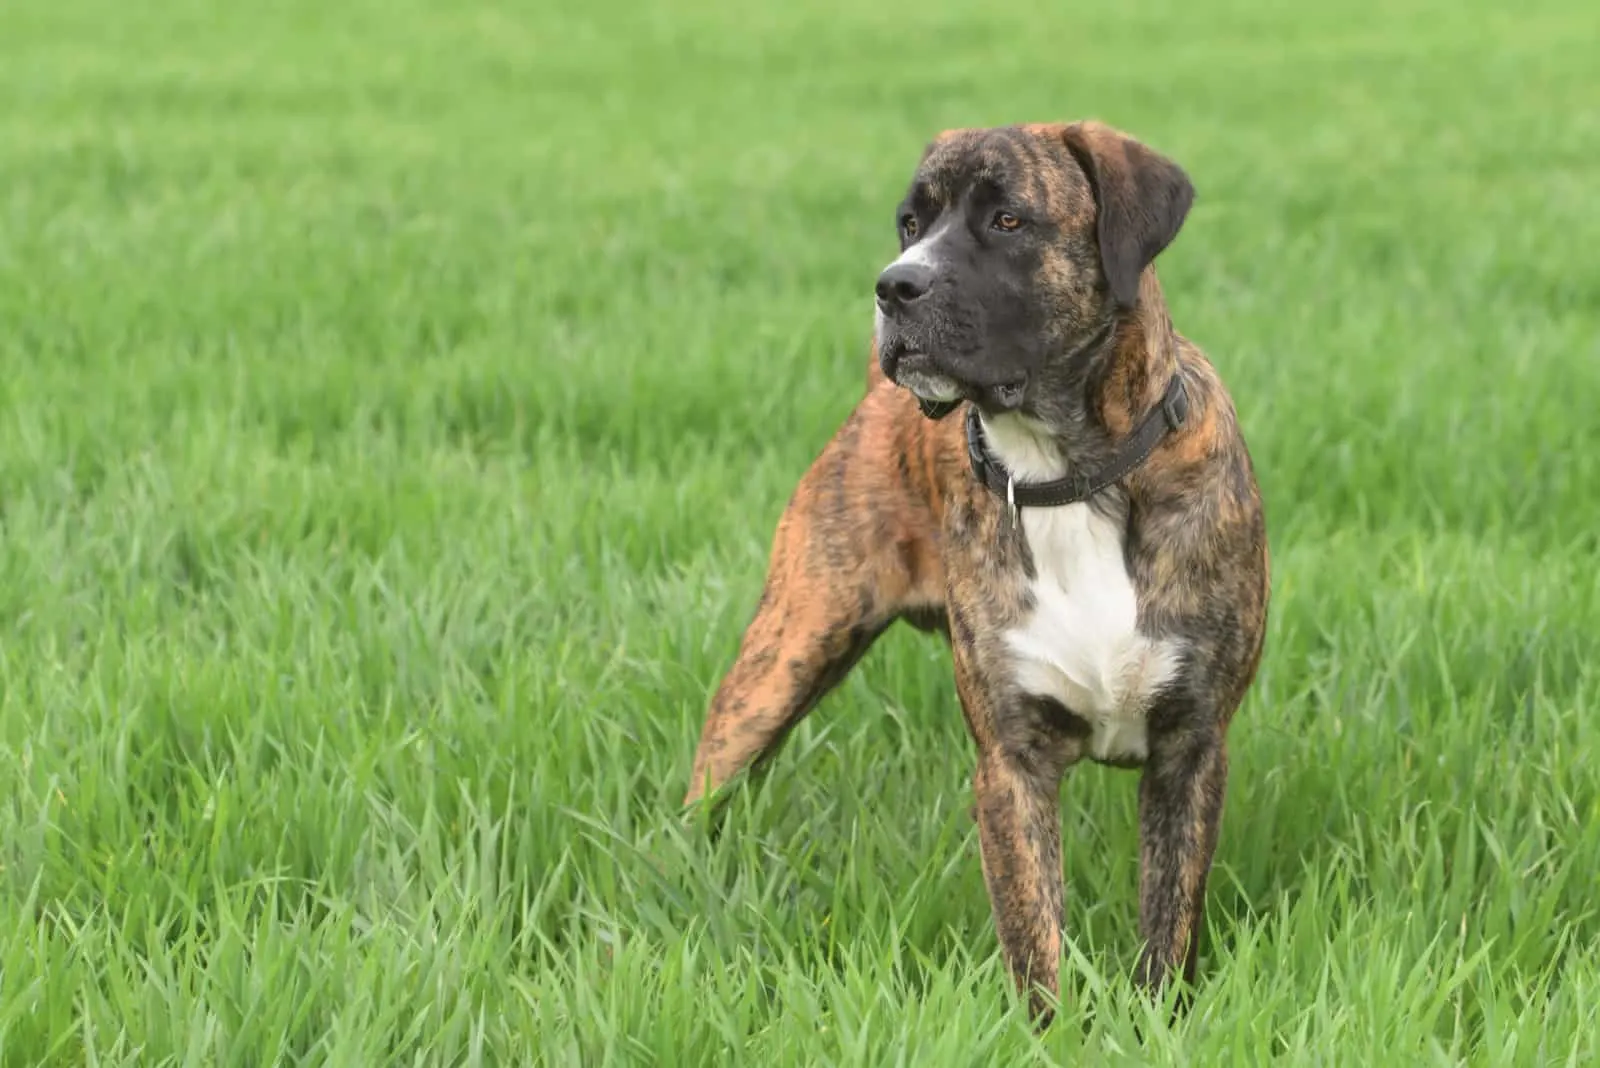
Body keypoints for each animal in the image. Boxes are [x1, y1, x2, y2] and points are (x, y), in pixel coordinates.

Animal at [681, 120, 1267, 1023]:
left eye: (1008, 221)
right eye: (909, 222)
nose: (894, 286)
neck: (1068, 477)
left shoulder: (1191, 750)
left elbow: (1167, 927)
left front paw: (1158, 1025)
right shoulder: (1011, 766)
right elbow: (1034, 938)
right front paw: (1051, 1033)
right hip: (786, 652)